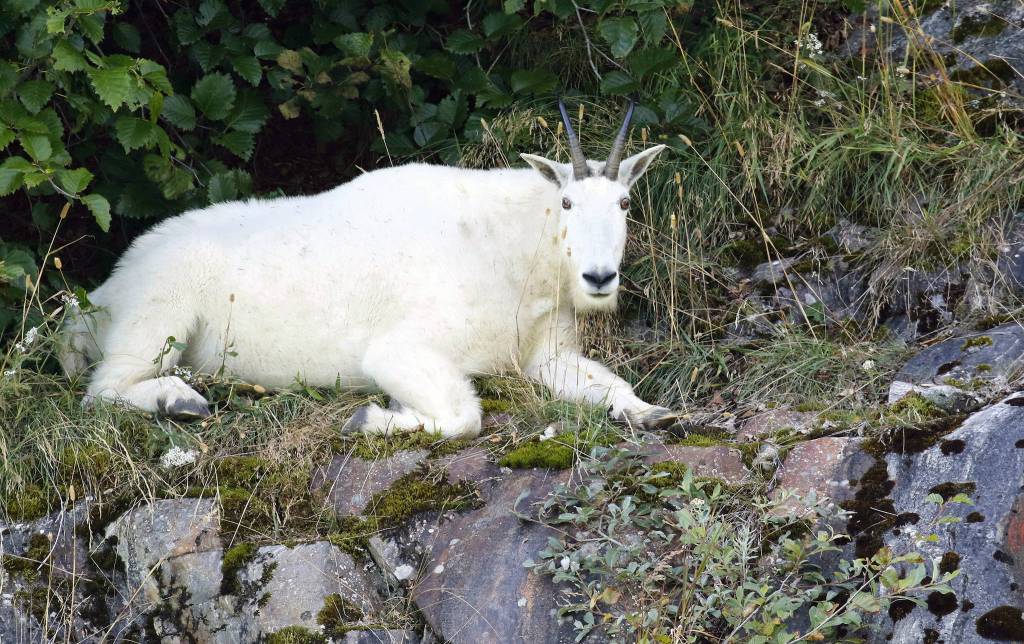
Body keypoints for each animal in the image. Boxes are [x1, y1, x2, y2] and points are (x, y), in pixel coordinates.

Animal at [60, 101, 675, 437]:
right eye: (567, 203)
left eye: (624, 203)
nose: (599, 278)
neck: (513, 248)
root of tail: (106, 292)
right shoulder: (398, 351)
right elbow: (464, 416)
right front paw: (373, 420)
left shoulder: (545, 356)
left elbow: (610, 385)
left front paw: (654, 415)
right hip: (158, 317)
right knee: (102, 390)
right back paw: (180, 400)